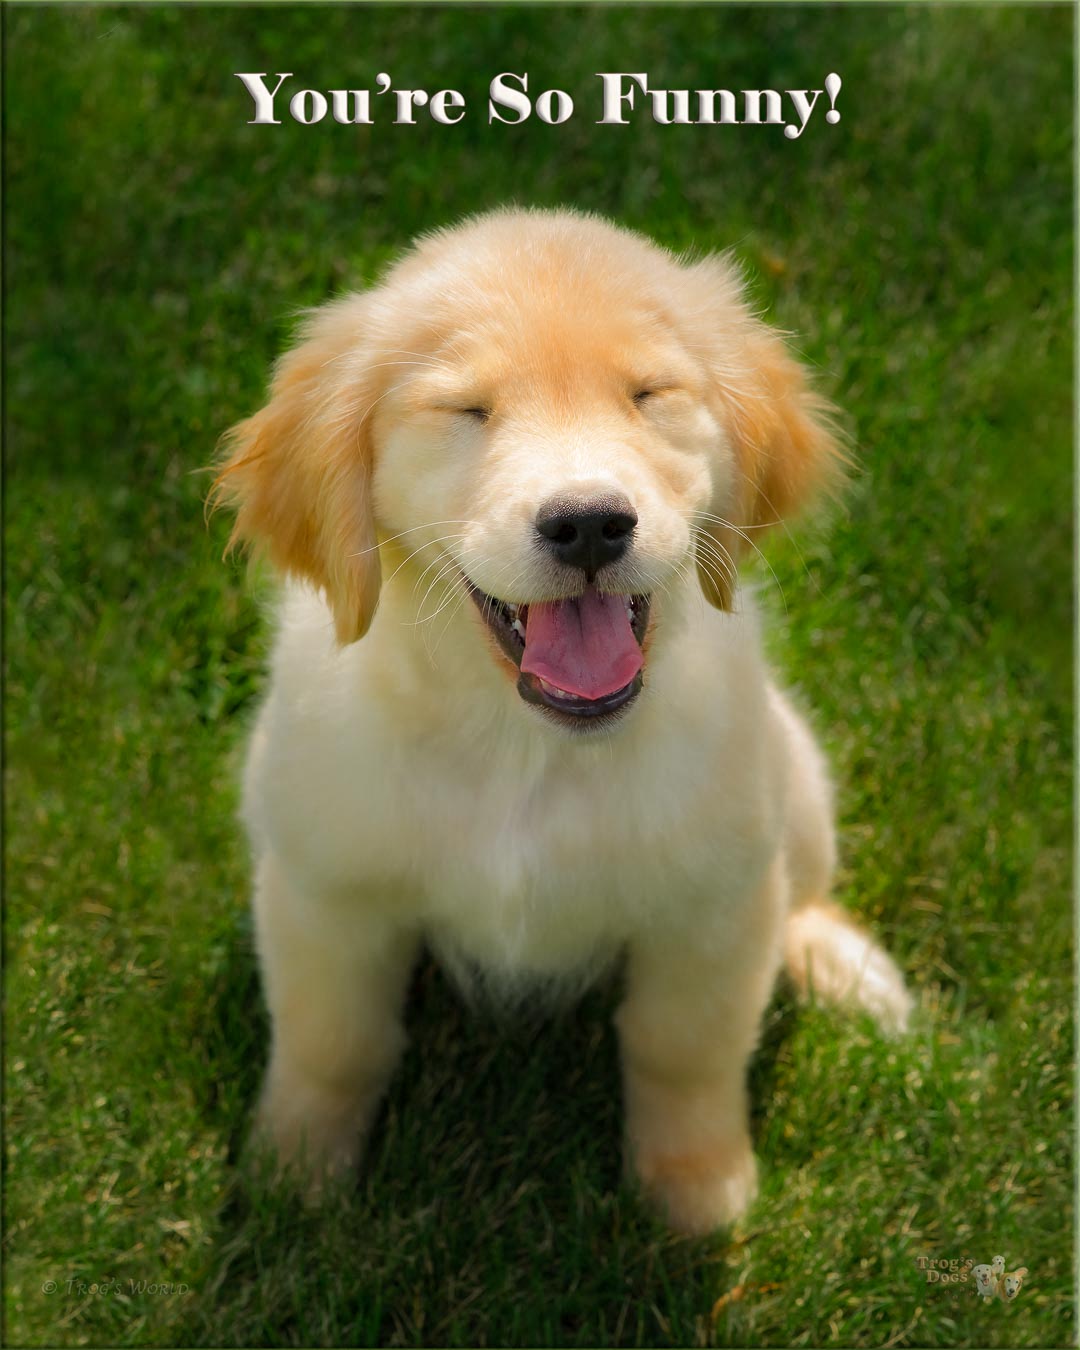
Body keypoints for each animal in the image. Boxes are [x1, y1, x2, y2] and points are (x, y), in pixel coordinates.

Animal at [214, 210, 918, 1236]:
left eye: (648, 395)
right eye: (468, 411)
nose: (589, 524)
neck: (524, 749)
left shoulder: (711, 907)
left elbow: (684, 1049)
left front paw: (697, 1193)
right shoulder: (324, 891)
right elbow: (332, 1041)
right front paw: (295, 1175)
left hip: (795, 774)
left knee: (805, 890)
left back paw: (844, 968)